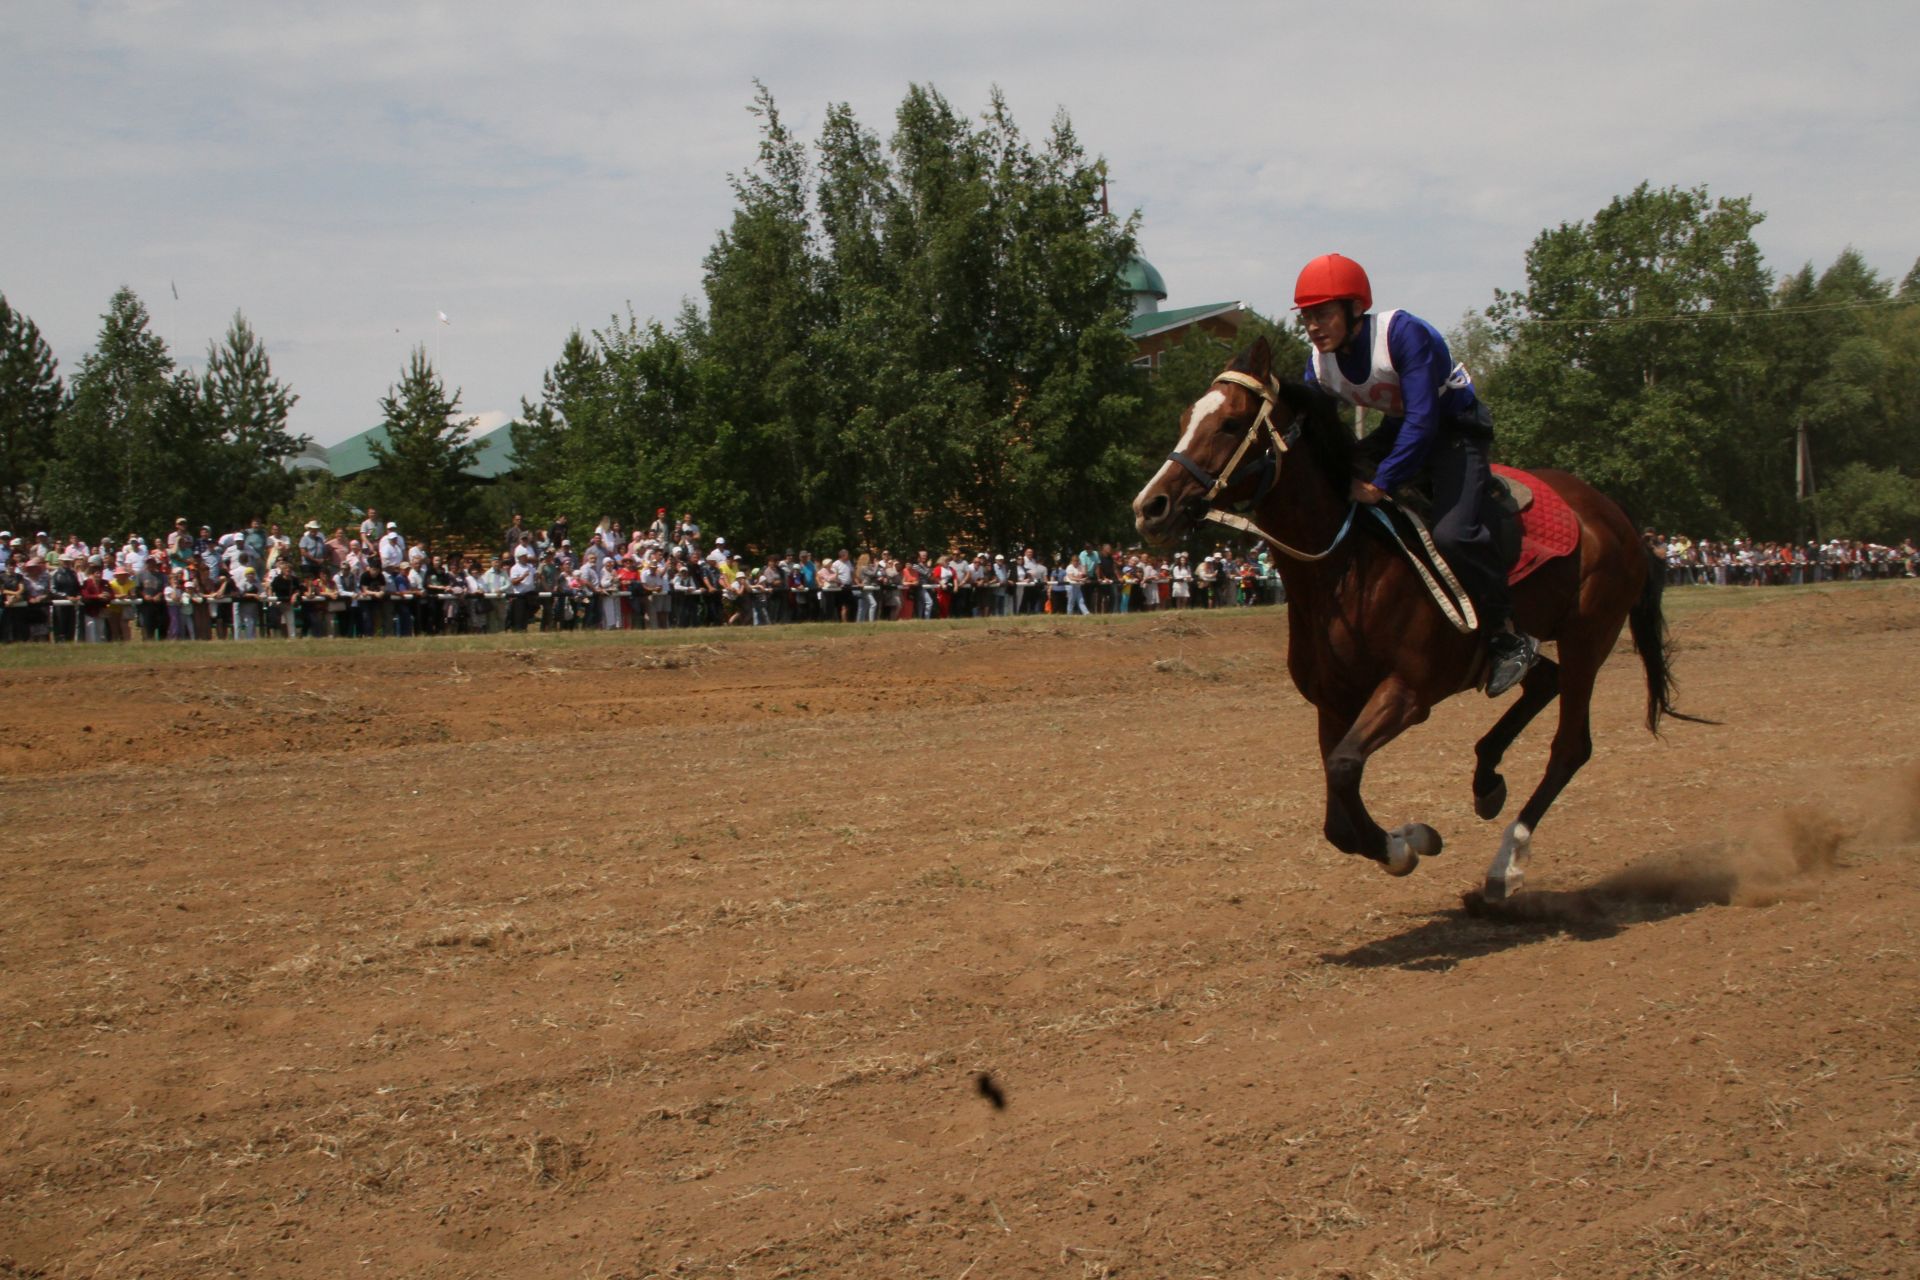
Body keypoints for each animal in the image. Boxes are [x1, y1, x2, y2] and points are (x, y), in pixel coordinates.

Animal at [1128, 339, 1704, 901]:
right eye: (1185, 418)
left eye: (1230, 423)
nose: (1151, 507)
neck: (1348, 569)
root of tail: (1620, 520)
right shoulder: (1333, 704)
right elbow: (1338, 812)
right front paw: (1412, 839)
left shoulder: (1406, 692)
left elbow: (1343, 770)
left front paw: (1407, 846)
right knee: (1545, 681)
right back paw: (1486, 780)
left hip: (1591, 635)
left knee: (1570, 746)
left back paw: (1505, 866)